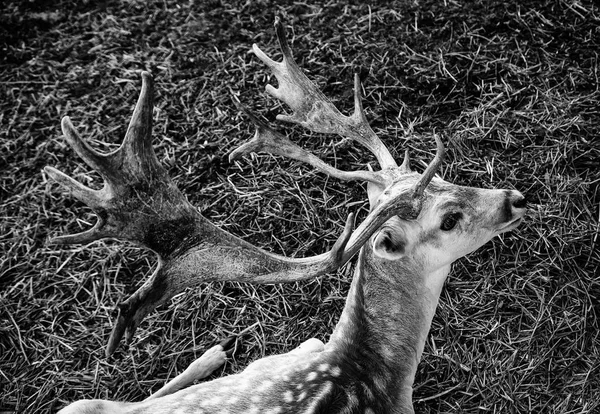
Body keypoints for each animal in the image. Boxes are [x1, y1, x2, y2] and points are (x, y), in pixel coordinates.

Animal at [51, 17, 524, 414]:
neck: (369, 375)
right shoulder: (289, 357)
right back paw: (213, 354)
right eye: (449, 219)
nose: (515, 198)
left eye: (443, 175)